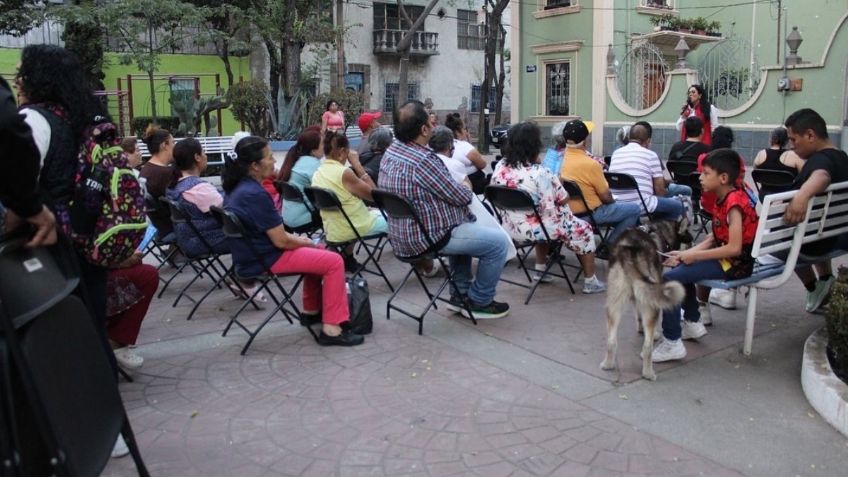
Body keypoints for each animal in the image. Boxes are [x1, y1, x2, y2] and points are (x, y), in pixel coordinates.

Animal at [600, 227, 684, 380]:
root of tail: (632, 251)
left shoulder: (639, 296)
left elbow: (638, 315)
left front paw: (640, 328)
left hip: (614, 302)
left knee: (611, 341)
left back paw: (608, 364)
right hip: (652, 306)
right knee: (647, 347)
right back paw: (648, 372)